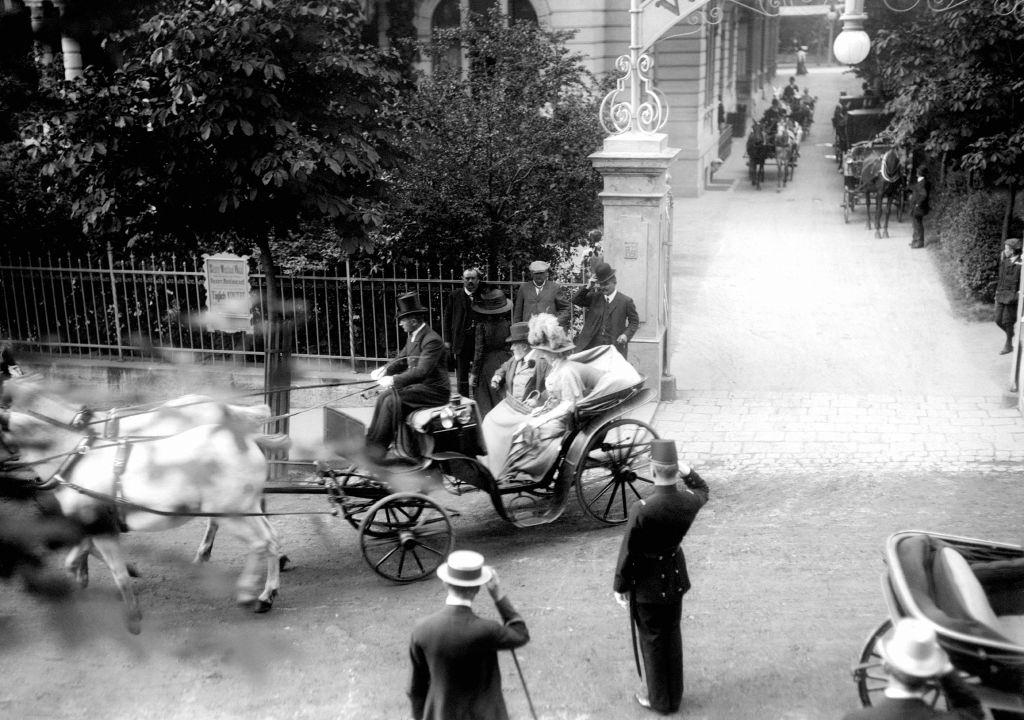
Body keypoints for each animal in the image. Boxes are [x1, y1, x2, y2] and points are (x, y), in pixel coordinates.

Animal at [8, 393, 282, 634]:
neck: (76, 459)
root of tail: (248, 439)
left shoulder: (100, 525)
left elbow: (115, 570)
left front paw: (132, 615)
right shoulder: (92, 524)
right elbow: (79, 553)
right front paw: (83, 577)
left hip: (232, 513)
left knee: (260, 542)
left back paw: (249, 592)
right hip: (247, 508)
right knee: (272, 539)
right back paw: (266, 593)